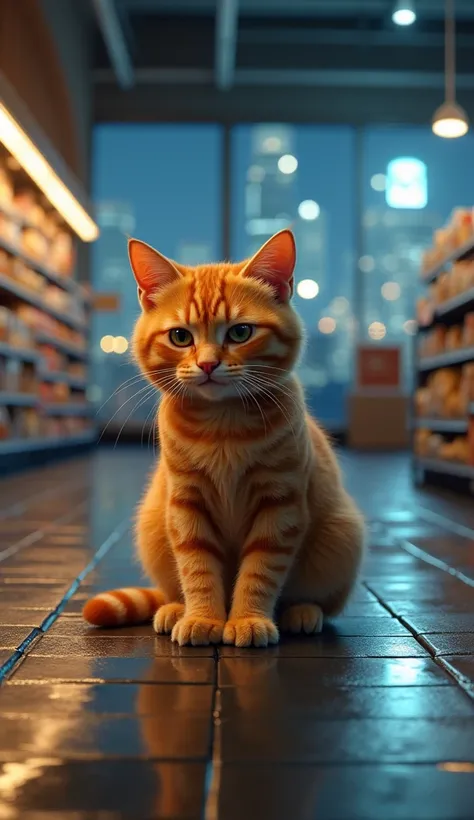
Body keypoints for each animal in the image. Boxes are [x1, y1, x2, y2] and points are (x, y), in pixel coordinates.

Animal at [84, 231, 366, 648]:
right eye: (180, 336)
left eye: (240, 332)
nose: (207, 364)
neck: (223, 426)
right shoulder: (186, 504)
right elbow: (197, 568)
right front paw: (203, 617)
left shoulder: (280, 505)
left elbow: (260, 571)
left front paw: (248, 618)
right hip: (153, 526)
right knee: (170, 589)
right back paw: (175, 609)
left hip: (341, 536)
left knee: (318, 601)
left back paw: (302, 612)